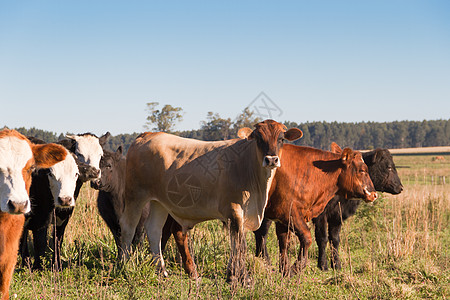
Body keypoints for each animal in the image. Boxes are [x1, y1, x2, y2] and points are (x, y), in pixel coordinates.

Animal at [119, 119, 302, 284]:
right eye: (258, 138)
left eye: (281, 139)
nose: (271, 160)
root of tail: (148, 135)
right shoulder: (234, 210)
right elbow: (240, 246)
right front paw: (243, 278)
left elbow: (235, 245)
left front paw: (233, 276)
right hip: (135, 195)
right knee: (128, 228)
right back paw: (124, 265)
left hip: (160, 202)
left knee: (154, 230)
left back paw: (162, 271)